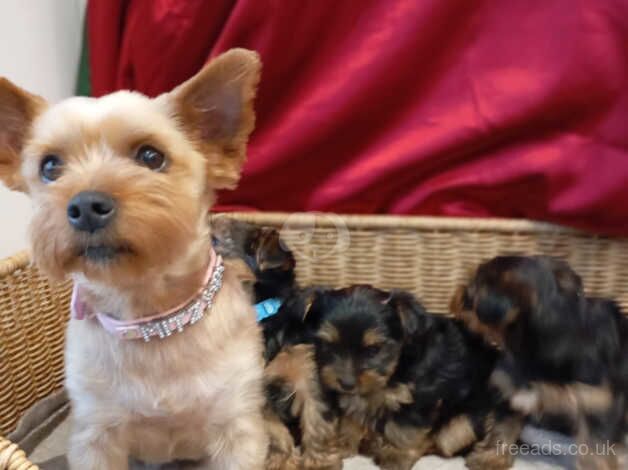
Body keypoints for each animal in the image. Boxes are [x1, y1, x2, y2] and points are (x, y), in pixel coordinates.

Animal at [454, 258, 624, 470]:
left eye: (472, 288)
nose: (458, 293)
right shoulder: (512, 391)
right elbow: (502, 427)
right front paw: (491, 457)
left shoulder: (596, 401)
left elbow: (595, 446)